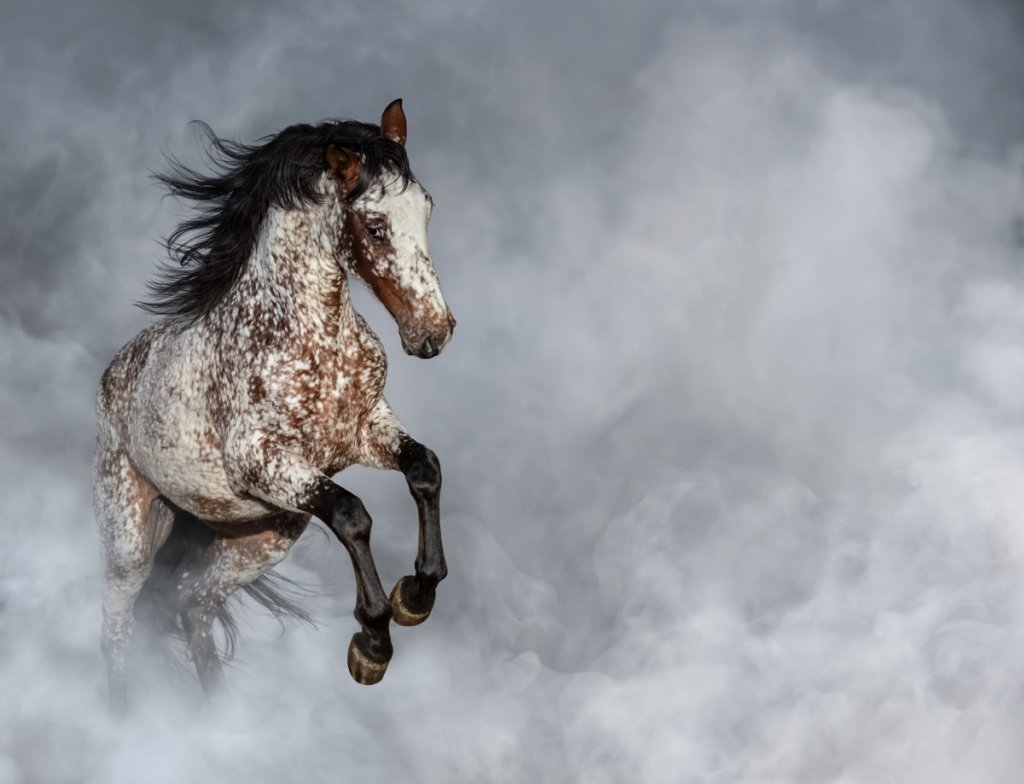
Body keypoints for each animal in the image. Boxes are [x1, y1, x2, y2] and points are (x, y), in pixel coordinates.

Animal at [93, 99, 455, 708]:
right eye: (375, 227)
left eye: (426, 207)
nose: (434, 332)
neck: (311, 338)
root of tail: (113, 374)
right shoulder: (262, 461)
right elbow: (352, 514)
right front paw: (373, 643)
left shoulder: (364, 431)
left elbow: (424, 468)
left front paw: (416, 596)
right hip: (131, 538)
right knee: (117, 628)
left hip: (262, 537)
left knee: (192, 600)